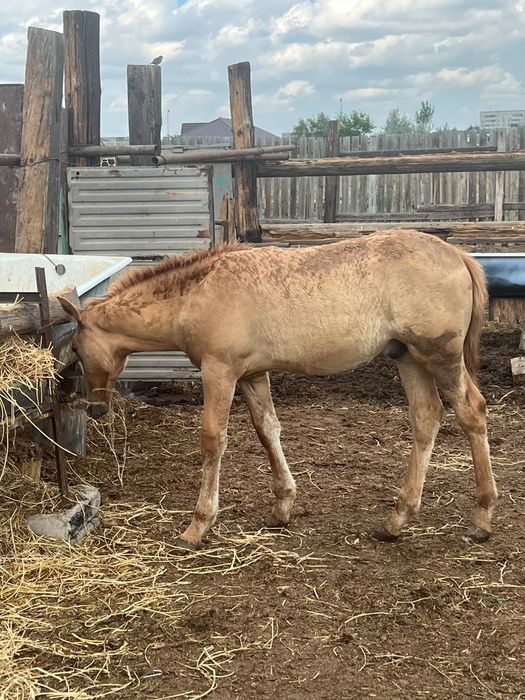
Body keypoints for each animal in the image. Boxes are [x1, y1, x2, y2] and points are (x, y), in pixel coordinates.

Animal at [58, 229, 498, 549]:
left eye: (75, 349)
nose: (94, 408)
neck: (199, 292)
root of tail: (459, 256)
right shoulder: (252, 375)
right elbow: (267, 429)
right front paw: (282, 506)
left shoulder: (220, 372)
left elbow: (213, 439)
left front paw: (198, 526)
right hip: (408, 358)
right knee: (426, 419)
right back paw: (397, 519)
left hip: (439, 356)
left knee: (471, 411)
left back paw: (481, 516)